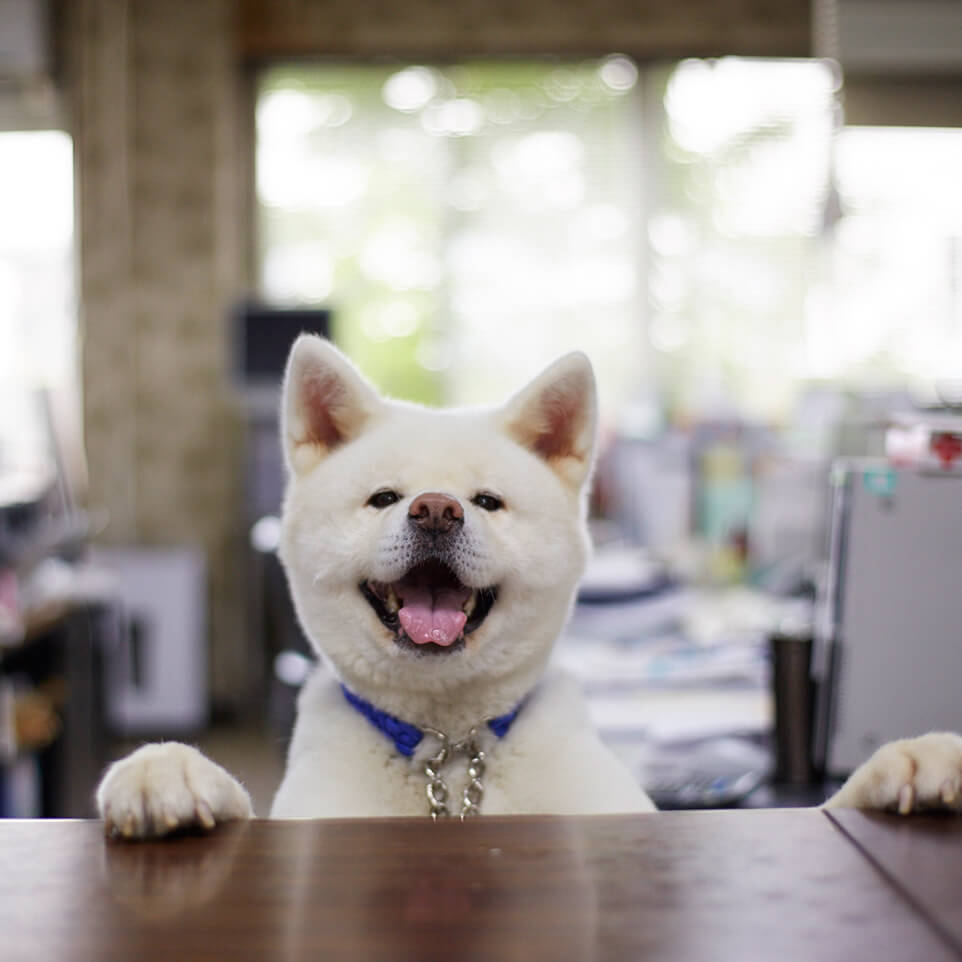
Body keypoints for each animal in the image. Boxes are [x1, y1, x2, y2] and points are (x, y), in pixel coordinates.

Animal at [95, 338, 960, 832]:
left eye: (486, 502)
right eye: (383, 498)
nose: (435, 509)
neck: (450, 756)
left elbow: (828, 808)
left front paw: (906, 766)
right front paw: (168, 772)